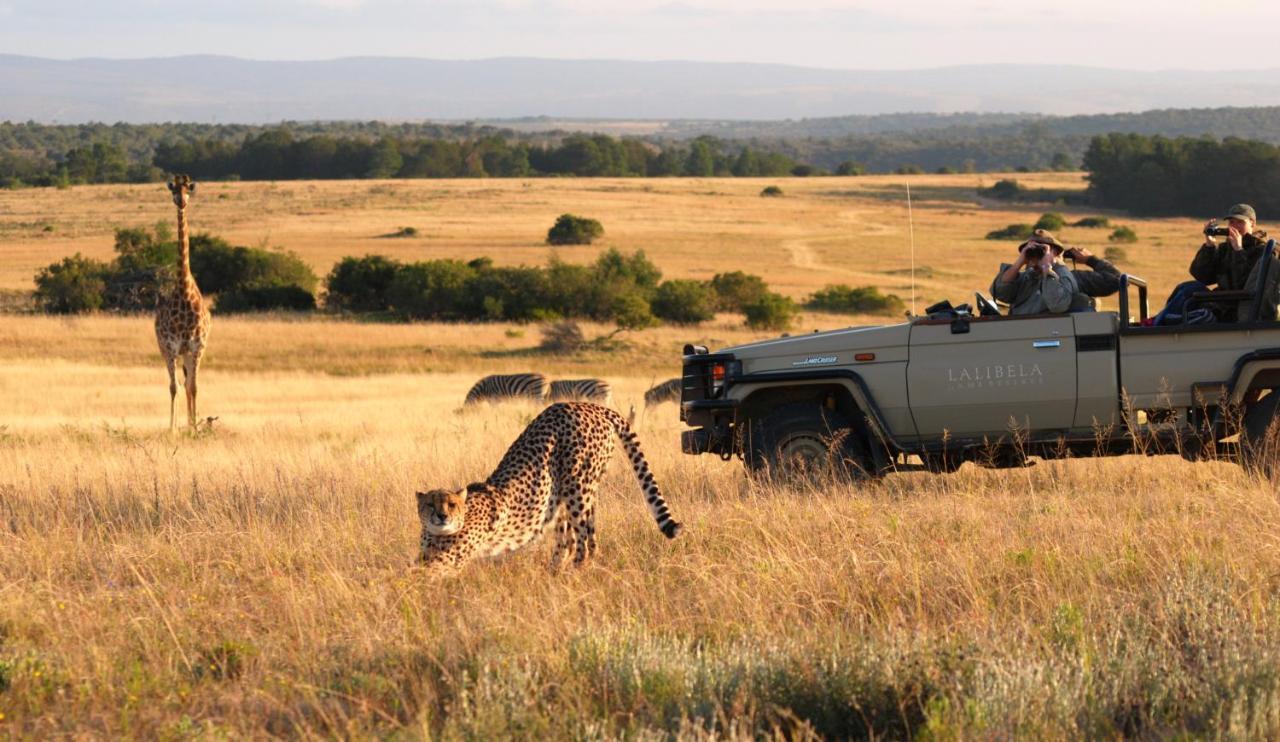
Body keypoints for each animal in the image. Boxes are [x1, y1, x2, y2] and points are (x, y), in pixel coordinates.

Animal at [417, 401, 680, 570]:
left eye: (451, 504)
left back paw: (573, 574)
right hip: (568, 493)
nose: (441, 516)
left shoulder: (445, 564)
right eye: (430, 504)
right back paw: (555, 572)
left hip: (577, 487)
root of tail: (591, 406)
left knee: (582, 542)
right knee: (576, 541)